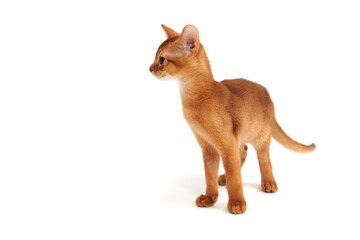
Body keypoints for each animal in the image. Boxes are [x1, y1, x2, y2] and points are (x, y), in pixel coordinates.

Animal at [149, 25, 316, 215]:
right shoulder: (208, 146)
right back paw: (224, 178)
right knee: (243, 151)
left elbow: (235, 177)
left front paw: (237, 203)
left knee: (263, 159)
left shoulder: (226, 143)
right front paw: (210, 198)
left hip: (260, 135)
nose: (150, 68)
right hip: (240, 135)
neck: (196, 96)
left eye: (161, 59)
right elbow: (210, 175)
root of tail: (267, 94)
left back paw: (268, 183)